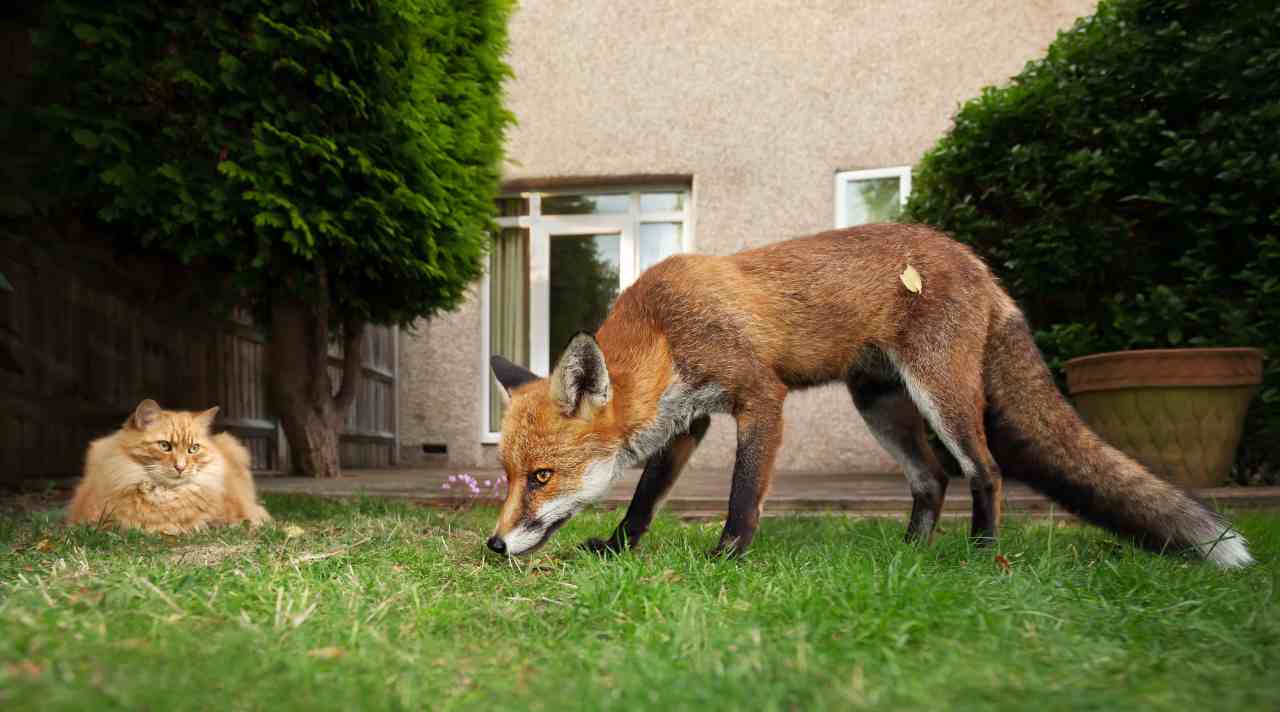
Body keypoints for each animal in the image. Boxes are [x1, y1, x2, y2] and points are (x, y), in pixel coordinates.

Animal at [483, 222, 1254, 568]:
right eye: (509, 475)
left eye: (542, 476)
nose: (491, 544)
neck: (665, 330)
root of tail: (975, 260)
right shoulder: (688, 423)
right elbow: (644, 500)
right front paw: (616, 547)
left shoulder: (759, 397)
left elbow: (743, 492)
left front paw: (729, 553)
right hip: (879, 405)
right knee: (931, 478)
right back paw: (912, 552)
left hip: (941, 394)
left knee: (984, 470)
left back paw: (980, 552)